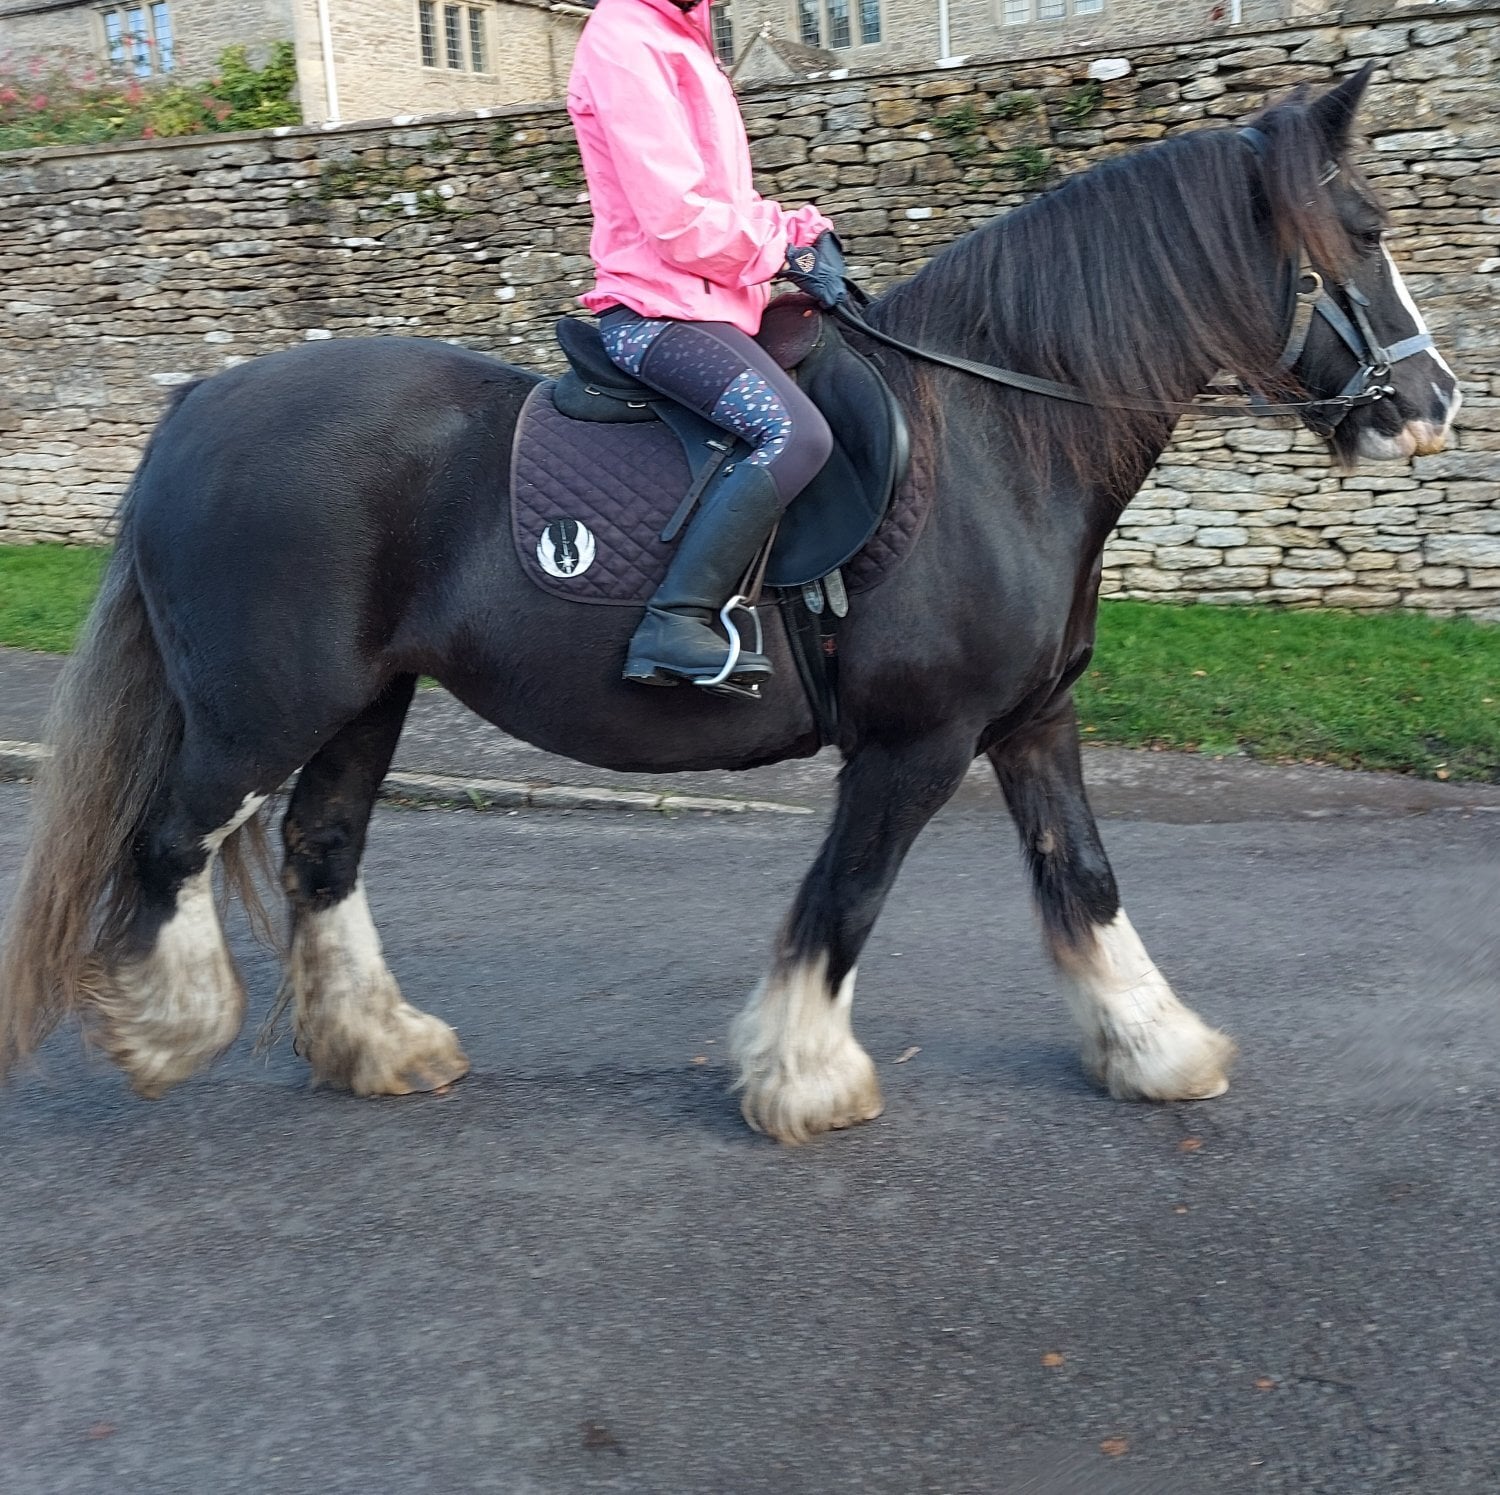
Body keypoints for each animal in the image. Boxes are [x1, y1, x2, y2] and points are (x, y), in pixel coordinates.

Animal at [0, 66, 1459, 1142]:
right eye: (1367, 234)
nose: (1434, 403)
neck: (998, 433)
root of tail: (203, 400)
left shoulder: (1034, 724)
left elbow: (1085, 881)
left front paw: (1154, 1045)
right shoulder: (916, 744)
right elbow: (845, 898)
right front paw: (804, 1076)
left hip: (365, 699)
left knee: (322, 846)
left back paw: (378, 1042)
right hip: (262, 705)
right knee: (170, 840)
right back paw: (163, 1026)